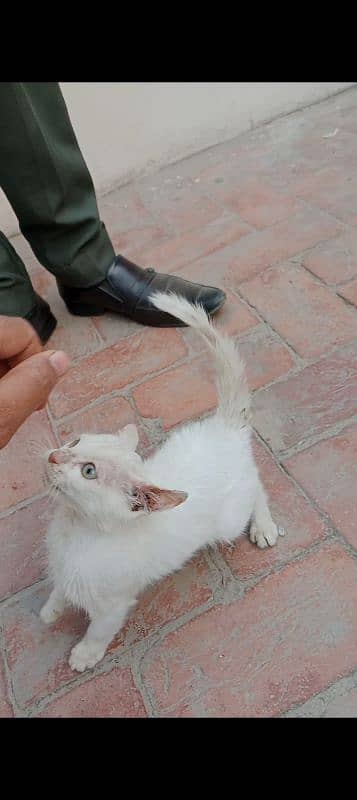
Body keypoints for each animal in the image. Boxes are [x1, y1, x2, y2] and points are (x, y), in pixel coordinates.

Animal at [40, 290, 284, 672]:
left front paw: (84, 654)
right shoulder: (65, 569)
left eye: (89, 471)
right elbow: (61, 588)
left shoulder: (113, 604)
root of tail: (225, 427)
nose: (54, 456)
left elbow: (99, 629)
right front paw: (51, 609)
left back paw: (263, 526)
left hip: (228, 520)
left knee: (256, 486)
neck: (77, 529)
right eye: (74, 441)